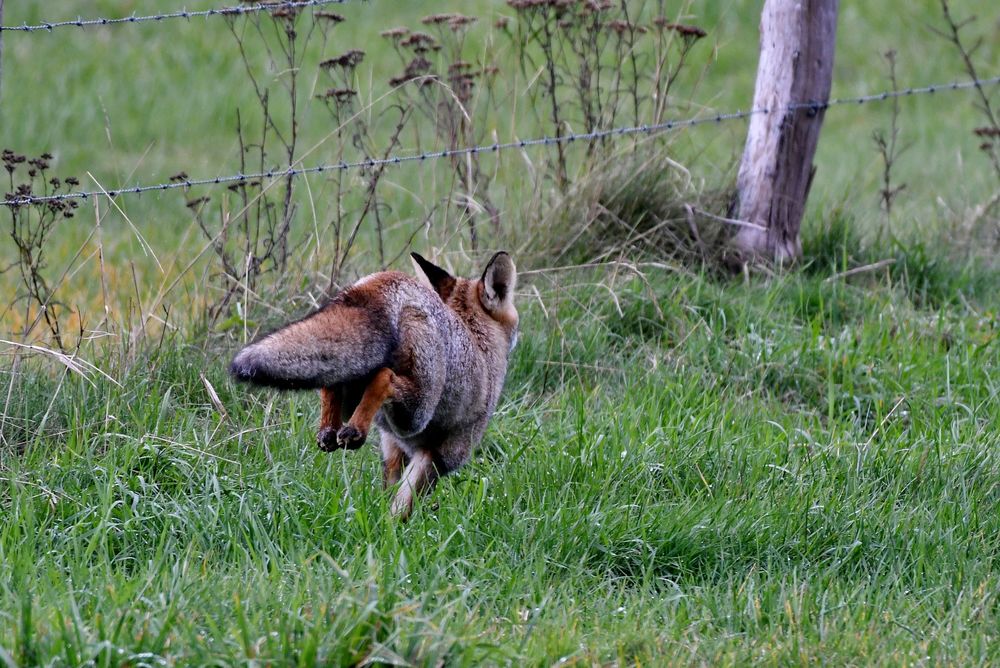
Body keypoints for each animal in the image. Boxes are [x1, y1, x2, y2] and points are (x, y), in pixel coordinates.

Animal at [229, 251, 518, 518]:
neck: (478, 339)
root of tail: (383, 281)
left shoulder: (393, 447)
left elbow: (390, 495)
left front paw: (381, 529)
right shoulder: (442, 455)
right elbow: (403, 506)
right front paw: (397, 532)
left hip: (356, 377)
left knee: (333, 383)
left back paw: (331, 431)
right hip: (416, 412)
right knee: (384, 378)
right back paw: (354, 431)